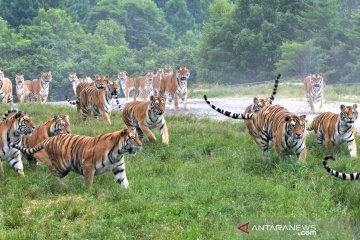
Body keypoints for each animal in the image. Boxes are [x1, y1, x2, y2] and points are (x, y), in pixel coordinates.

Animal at [9, 126, 142, 188]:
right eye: (132, 138)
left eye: (137, 137)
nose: (140, 145)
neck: (118, 152)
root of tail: (49, 139)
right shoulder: (88, 166)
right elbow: (89, 183)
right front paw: (89, 194)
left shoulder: (119, 168)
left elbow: (124, 181)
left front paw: (128, 194)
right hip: (60, 167)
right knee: (49, 176)